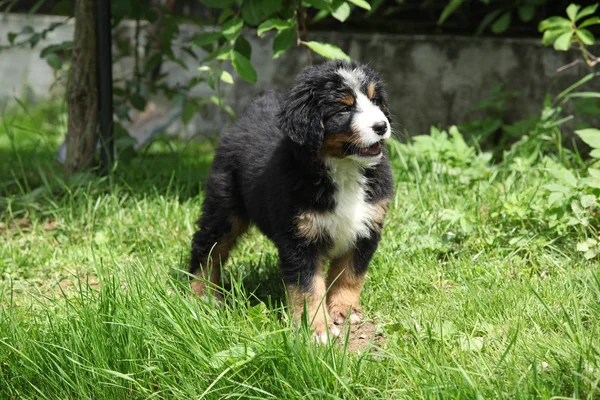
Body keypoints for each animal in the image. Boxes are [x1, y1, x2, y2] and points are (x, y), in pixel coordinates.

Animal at [189, 59, 394, 344]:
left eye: (375, 101)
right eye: (344, 108)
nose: (381, 126)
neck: (343, 169)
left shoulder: (366, 228)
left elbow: (351, 274)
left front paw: (344, 309)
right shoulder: (299, 239)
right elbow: (308, 287)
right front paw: (316, 329)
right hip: (224, 206)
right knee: (207, 246)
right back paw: (201, 294)